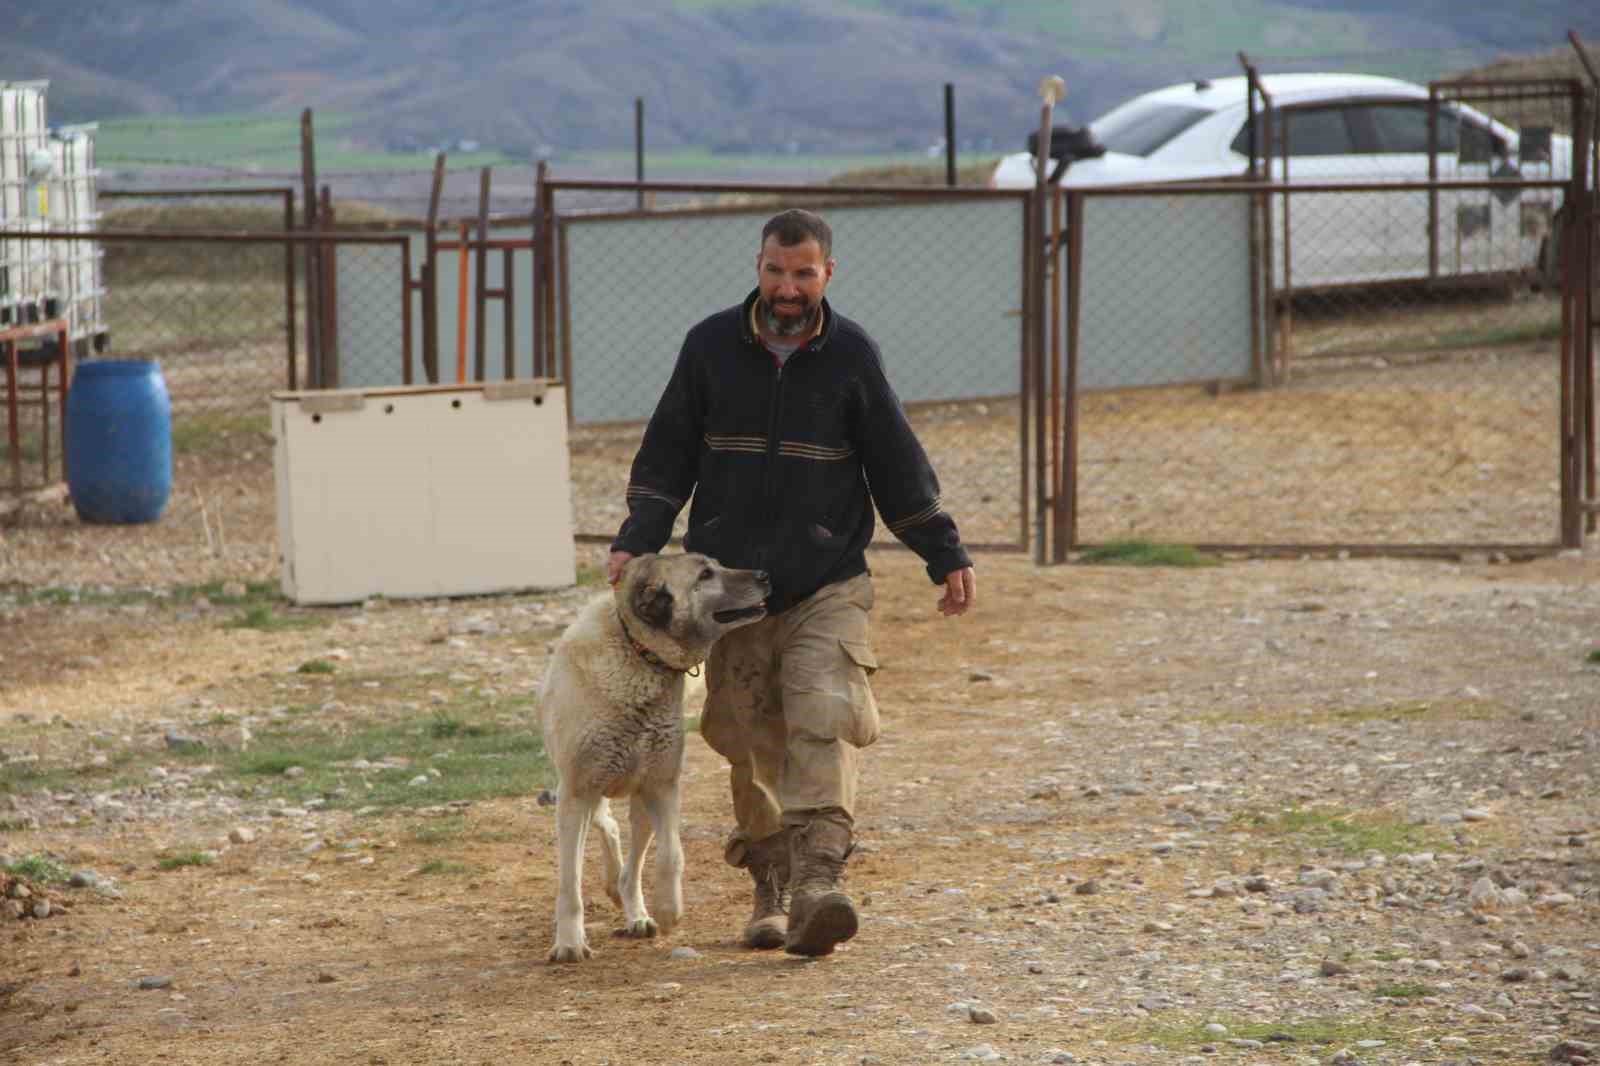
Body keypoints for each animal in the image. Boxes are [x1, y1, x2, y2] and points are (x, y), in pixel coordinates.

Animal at [540, 550, 771, 960]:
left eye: (717, 564)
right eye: (705, 574)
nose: (765, 575)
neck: (638, 655)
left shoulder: (660, 787)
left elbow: (671, 856)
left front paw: (668, 909)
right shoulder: (575, 793)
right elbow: (570, 883)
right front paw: (568, 943)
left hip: (637, 803)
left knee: (630, 861)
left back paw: (635, 912)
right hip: (581, 796)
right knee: (605, 827)